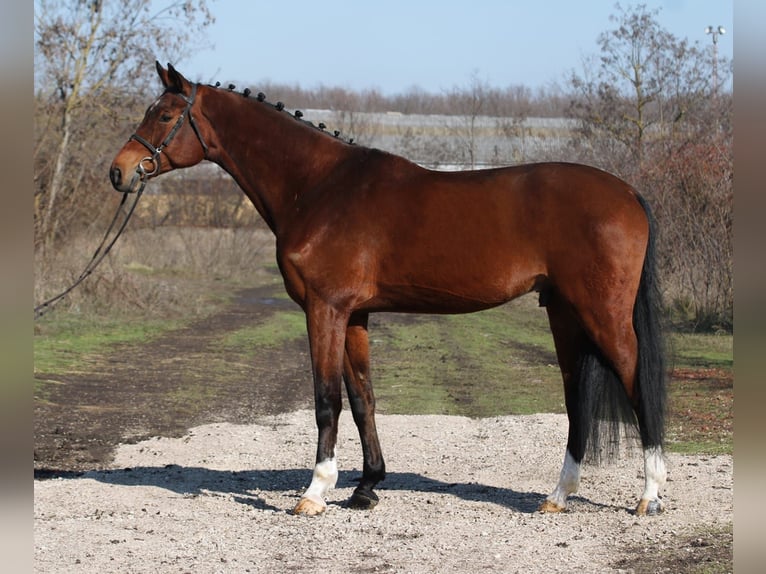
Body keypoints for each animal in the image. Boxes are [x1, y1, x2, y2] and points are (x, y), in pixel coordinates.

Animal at [111, 63, 668, 516]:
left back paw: (650, 495)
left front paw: (315, 492)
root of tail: (629, 193)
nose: (120, 170)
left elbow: (326, 399)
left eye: (164, 114)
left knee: (637, 382)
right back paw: (557, 497)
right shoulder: (354, 315)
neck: (318, 186)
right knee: (576, 398)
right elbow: (363, 399)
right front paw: (366, 487)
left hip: (601, 314)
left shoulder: (325, 309)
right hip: (564, 313)